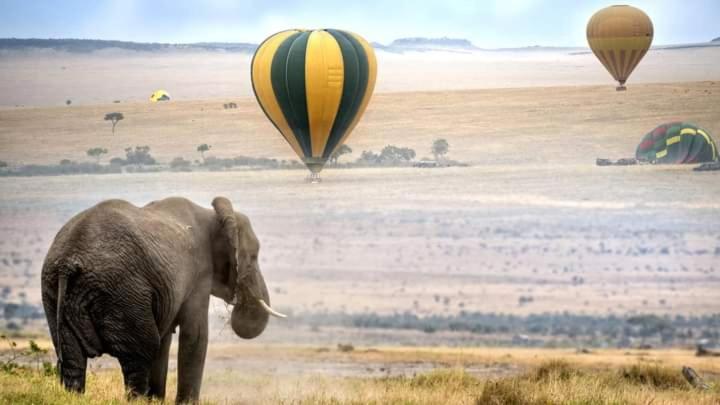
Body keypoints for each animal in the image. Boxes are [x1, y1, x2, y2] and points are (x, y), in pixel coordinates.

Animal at [40, 195, 286, 400]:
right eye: (253, 257)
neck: (213, 215)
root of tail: (68, 262)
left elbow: (166, 338)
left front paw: (156, 400)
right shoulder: (198, 273)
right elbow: (195, 336)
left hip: (55, 292)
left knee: (72, 359)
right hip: (121, 292)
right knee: (140, 352)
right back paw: (137, 399)